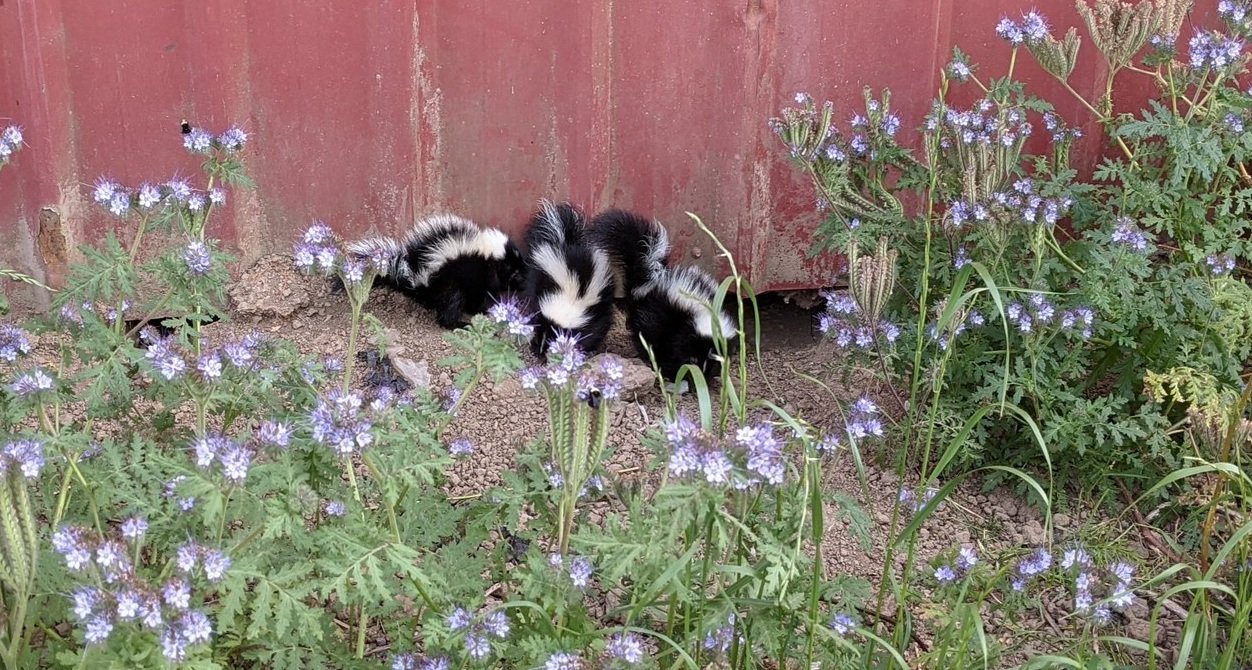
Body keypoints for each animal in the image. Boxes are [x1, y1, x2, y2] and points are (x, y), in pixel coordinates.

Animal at [340, 215, 525, 330]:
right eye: (514, 272)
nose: (524, 284)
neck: (484, 254)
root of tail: (416, 278)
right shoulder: (477, 273)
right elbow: (479, 294)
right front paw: (481, 311)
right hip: (448, 284)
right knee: (450, 306)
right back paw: (459, 324)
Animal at [520, 200, 613, 360]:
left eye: (556, 336)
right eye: (541, 333)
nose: (541, 352)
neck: (572, 299)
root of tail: (566, 241)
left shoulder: (591, 317)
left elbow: (592, 333)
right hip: (537, 274)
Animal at [590, 210, 736, 383]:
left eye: (714, 362)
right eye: (693, 359)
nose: (700, 375)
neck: (705, 310)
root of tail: (649, 282)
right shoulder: (677, 327)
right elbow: (674, 350)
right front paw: (672, 372)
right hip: (652, 317)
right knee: (646, 336)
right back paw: (648, 357)